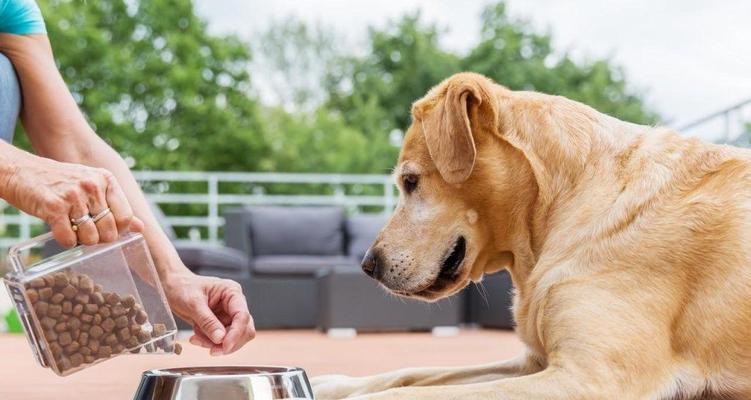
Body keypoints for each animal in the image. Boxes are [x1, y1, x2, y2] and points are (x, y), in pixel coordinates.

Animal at [312, 72, 751, 400]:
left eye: (410, 181)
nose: (368, 265)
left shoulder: (592, 378)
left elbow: (408, 392)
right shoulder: (534, 362)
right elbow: (411, 373)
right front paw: (329, 382)